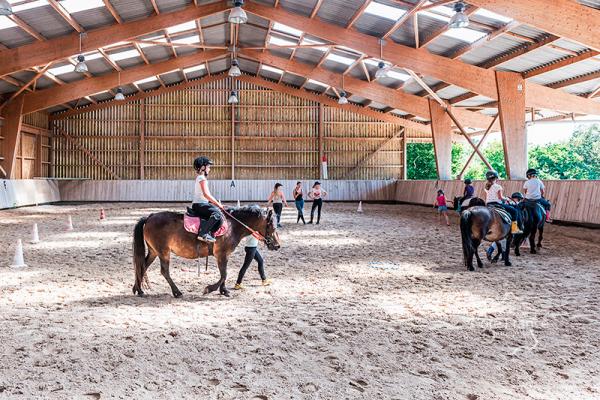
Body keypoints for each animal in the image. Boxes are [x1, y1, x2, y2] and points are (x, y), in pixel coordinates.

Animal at [132, 206, 280, 296]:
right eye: (272, 226)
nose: (277, 245)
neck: (232, 226)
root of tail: (150, 217)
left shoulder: (224, 255)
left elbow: (224, 273)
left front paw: (224, 291)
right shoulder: (221, 254)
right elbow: (224, 274)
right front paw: (209, 289)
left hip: (154, 251)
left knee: (142, 266)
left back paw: (138, 289)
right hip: (163, 252)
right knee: (164, 271)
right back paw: (177, 292)